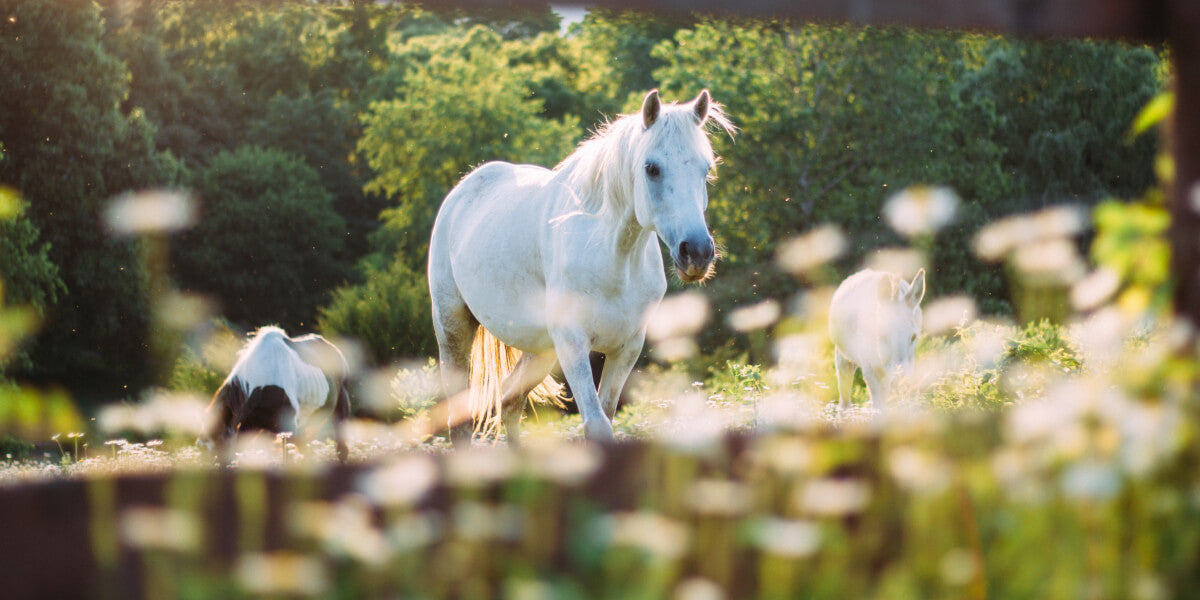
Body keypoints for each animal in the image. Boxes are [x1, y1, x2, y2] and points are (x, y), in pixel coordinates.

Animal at [427, 90, 734, 446]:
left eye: (705, 169)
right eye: (651, 168)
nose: (696, 252)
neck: (613, 261)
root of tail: (463, 190)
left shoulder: (627, 348)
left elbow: (607, 416)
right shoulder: (573, 343)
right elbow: (597, 425)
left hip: (541, 350)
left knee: (510, 400)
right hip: (453, 327)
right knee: (460, 419)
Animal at [825, 270, 926, 410]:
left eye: (914, 337)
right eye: (882, 335)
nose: (900, 381)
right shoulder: (871, 373)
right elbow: (879, 408)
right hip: (843, 359)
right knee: (844, 400)